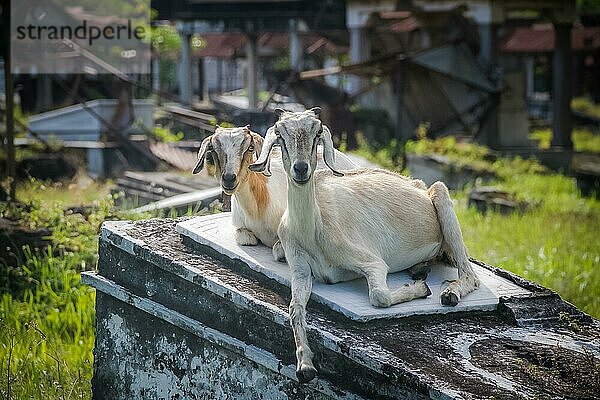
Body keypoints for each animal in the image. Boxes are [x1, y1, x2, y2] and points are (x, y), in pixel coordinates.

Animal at [192, 126, 356, 260]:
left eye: (250, 147)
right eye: (212, 149)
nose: (229, 178)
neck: (257, 212)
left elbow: (279, 250)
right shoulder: (239, 227)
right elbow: (246, 239)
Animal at [247, 108, 478, 382]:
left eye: (316, 133)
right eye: (281, 135)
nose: (301, 169)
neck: (313, 231)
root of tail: (417, 185)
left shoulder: (371, 261)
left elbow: (379, 296)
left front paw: (420, 289)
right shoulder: (300, 269)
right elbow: (294, 307)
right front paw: (305, 365)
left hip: (442, 198)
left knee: (470, 275)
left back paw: (449, 293)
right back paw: (420, 269)